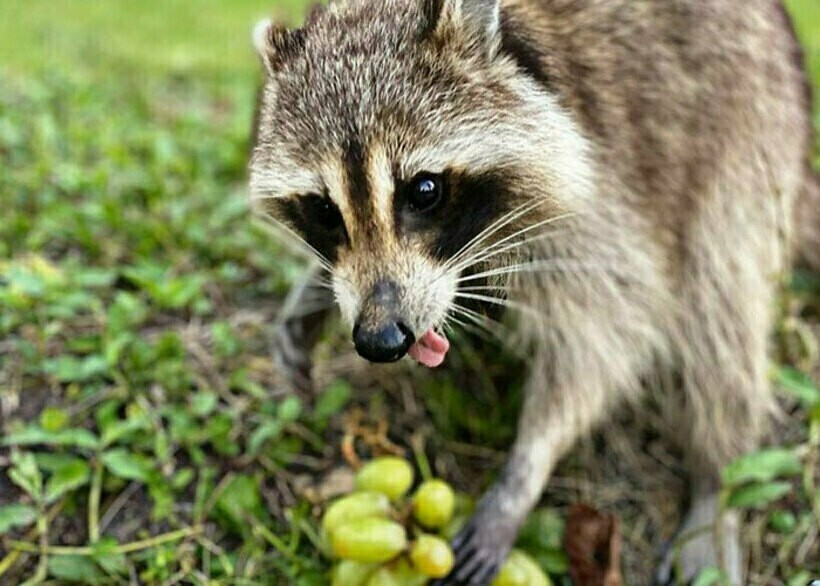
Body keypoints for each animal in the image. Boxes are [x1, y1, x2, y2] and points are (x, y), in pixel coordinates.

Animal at [247, 1, 816, 580]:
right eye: (323, 209)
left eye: (424, 190)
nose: (380, 339)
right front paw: (315, 289)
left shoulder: (608, 193)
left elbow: (605, 336)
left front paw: (526, 469)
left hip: (750, 140)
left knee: (720, 309)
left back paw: (717, 479)